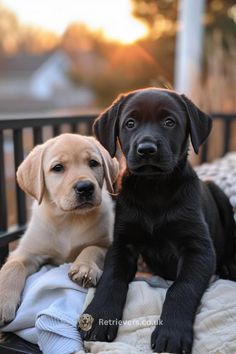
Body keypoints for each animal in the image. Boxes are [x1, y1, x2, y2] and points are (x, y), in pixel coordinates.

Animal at [0, 133, 119, 326]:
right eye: (58, 168)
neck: (69, 219)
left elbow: (92, 248)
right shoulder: (27, 251)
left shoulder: (107, 244)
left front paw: (84, 268)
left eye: (93, 163)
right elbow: (13, 266)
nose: (85, 187)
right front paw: (3, 300)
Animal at [79, 87, 236, 352]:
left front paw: (172, 333)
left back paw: (229, 266)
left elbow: (181, 288)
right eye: (130, 123)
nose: (146, 149)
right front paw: (99, 316)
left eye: (169, 122)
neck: (154, 189)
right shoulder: (123, 243)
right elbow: (111, 278)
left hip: (219, 194)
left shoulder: (199, 249)